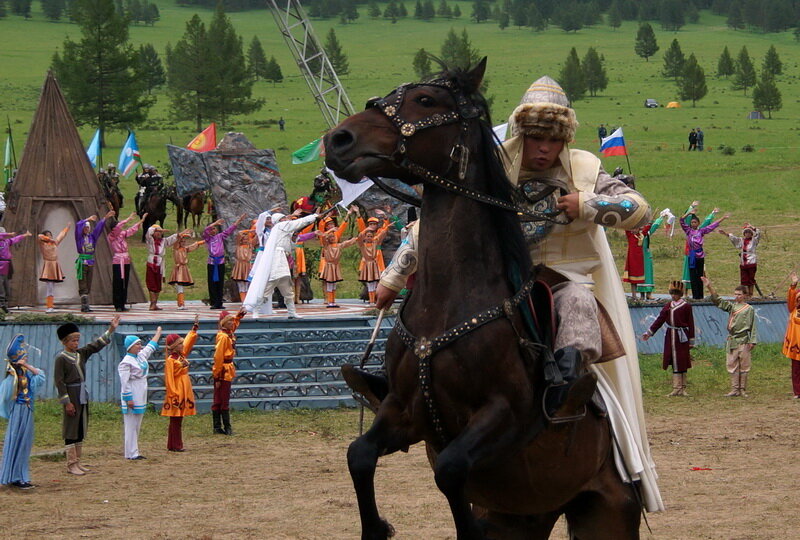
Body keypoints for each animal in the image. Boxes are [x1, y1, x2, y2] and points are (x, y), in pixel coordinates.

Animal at [322, 60, 640, 540]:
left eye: (426, 100)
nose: (338, 140)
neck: (447, 305)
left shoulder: (502, 415)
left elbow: (451, 470)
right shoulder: (403, 412)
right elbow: (359, 454)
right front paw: (377, 527)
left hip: (608, 517)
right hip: (524, 518)